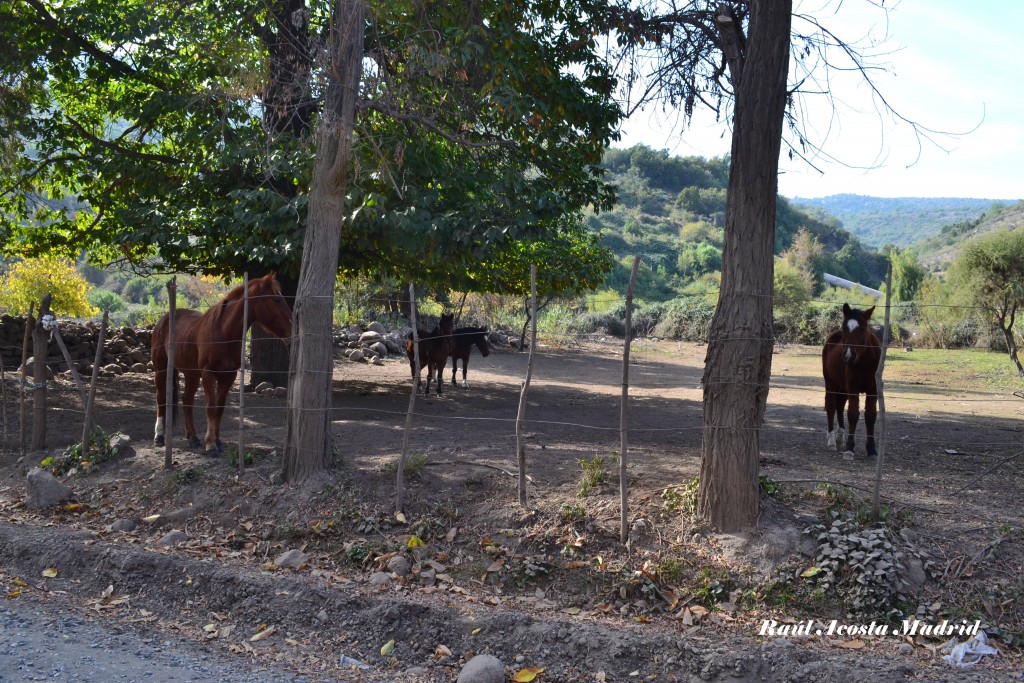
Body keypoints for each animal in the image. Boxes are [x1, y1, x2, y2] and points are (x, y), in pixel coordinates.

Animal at [153, 272, 294, 454]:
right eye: (276, 299)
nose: (293, 329)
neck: (223, 333)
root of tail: (163, 320)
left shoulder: (228, 376)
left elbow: (219, 409)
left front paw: (218, 441)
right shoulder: (208, 374)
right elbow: (211, 407)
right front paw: (210, 445)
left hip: (191, 374)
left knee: (187, 401)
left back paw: (193, 438)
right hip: (161, 369)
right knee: (161, 398)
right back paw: (159, 437)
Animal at [823, 305, 880, 458]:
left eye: (863, 329)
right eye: (844, 327)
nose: (848, 355)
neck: (865, 363)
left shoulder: (873, 391)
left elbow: (870, 416)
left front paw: (872, 449)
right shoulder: (853, 389)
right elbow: (853, 414)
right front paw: (849, 448)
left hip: (842, 387)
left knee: (840, 405)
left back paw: (839, 437)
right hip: (830, 383)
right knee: (831, 406)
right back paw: (831, 441)